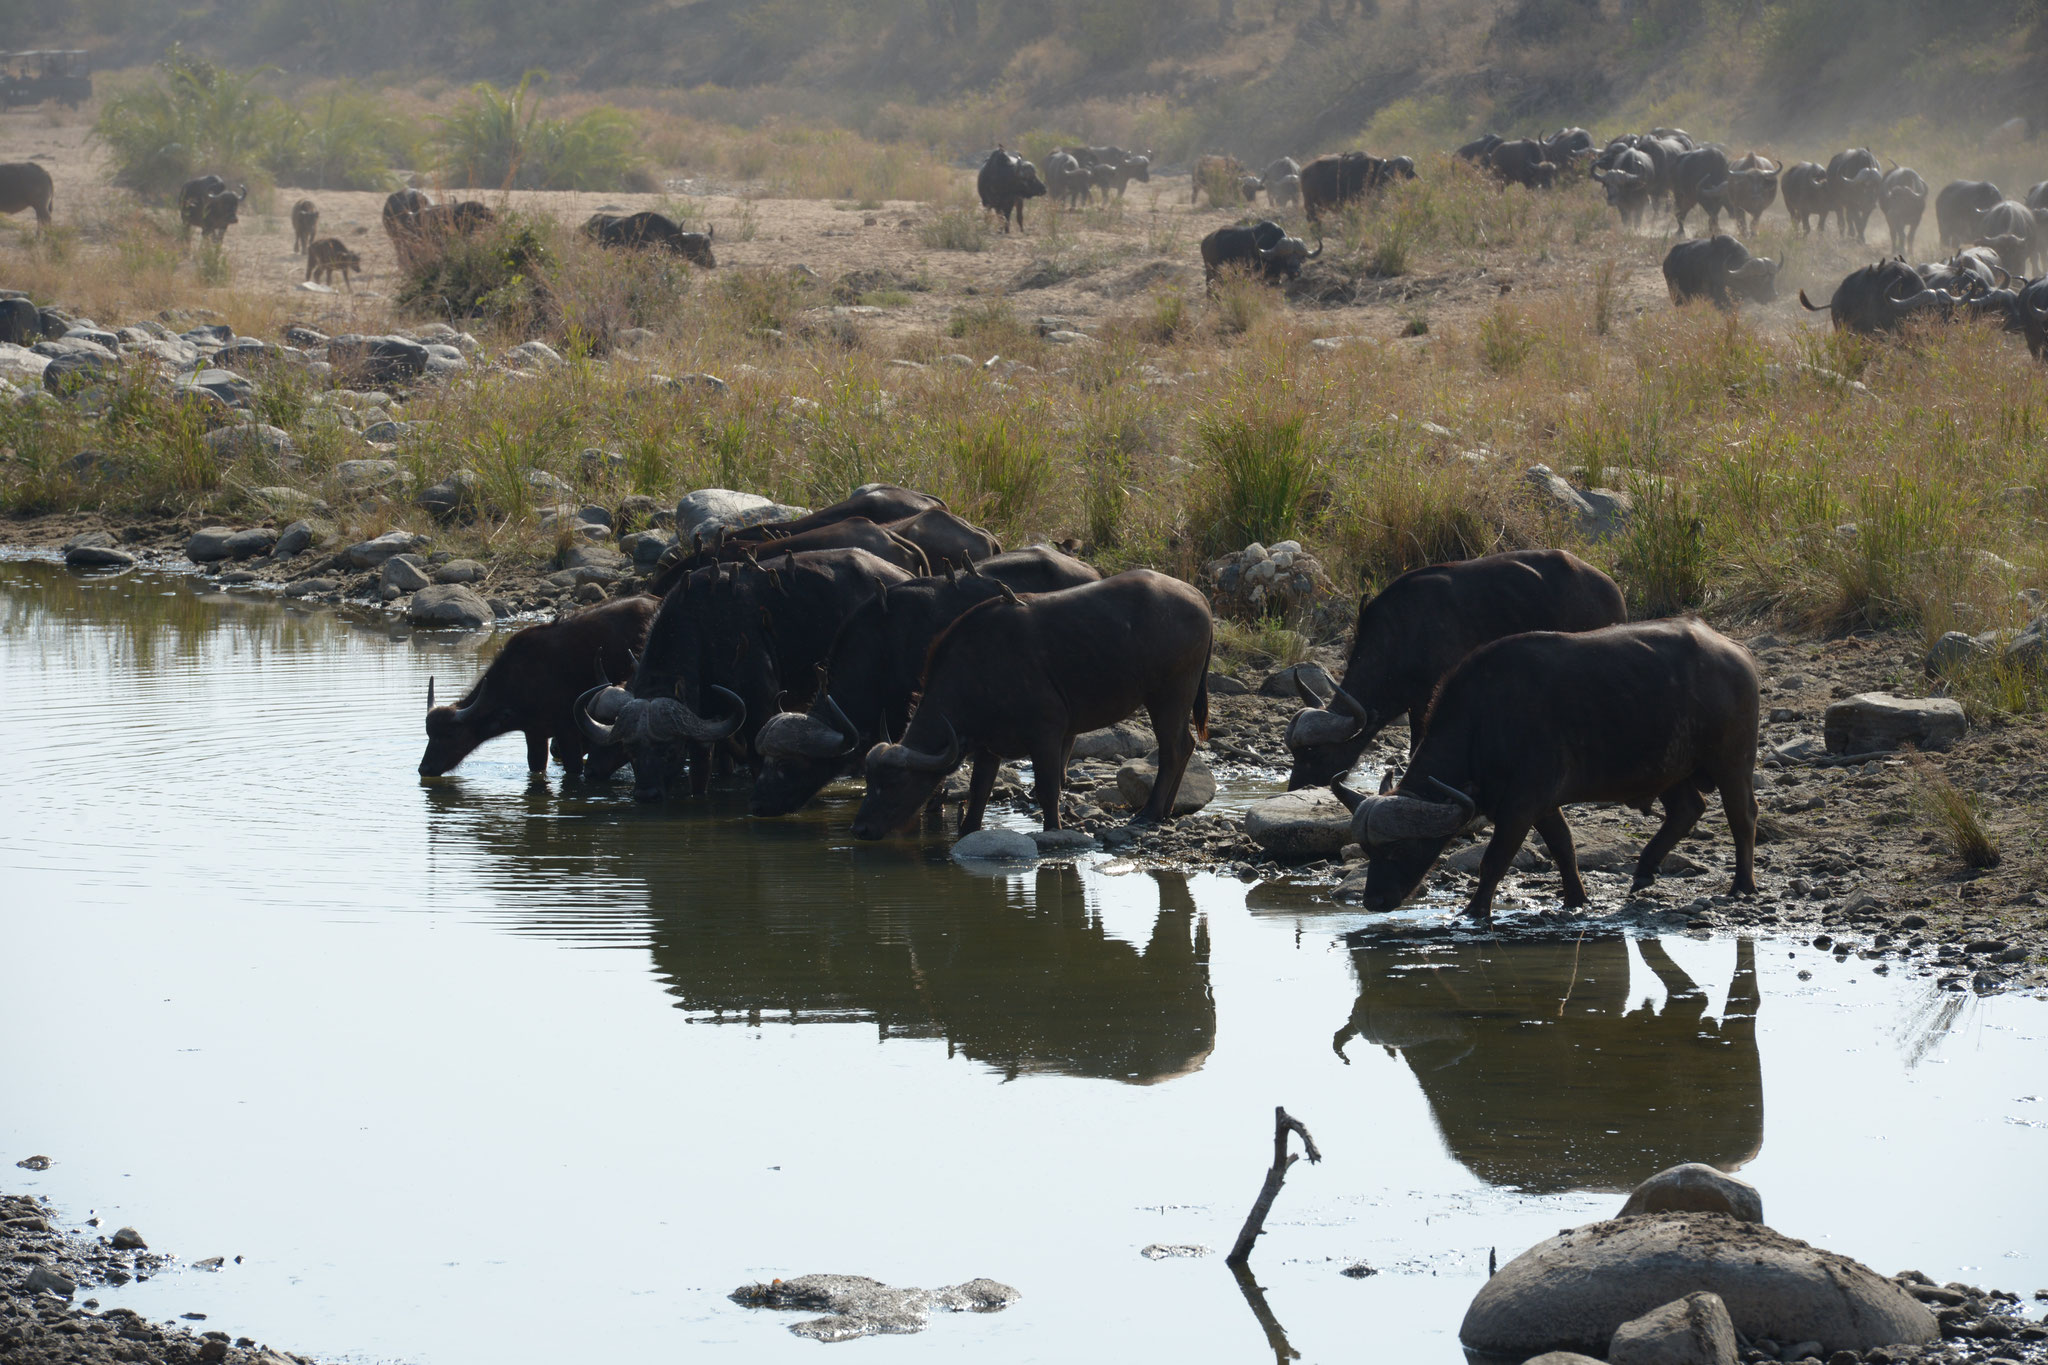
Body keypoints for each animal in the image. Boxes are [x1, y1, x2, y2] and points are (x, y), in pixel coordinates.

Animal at [423, 593, 655, 777]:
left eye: (450, 735)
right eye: (429, 734)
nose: (424, 768)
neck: (519, 679)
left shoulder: (567, 730)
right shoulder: (535, 733)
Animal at [1286, 548, 1622, 794]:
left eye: (1315, 754)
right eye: (1295, 755)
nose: (1295, 786)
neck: (1403, 632)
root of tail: (1611, 589)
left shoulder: (1430, 696)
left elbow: (1418, 741)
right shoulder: (1414, 700)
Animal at [1335, 618, 1753, 916]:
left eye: (1399, 850)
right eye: (1368, 851)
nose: (1374, 902)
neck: (1483, 723)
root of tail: (1736, 653)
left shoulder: (1520, 806)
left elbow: (1494, 861)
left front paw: (1474, 911)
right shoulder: (1543, 805)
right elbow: (1563, 847)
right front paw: (1576, 899)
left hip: (1732, 761)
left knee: (1742, 815)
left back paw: (1742, 885)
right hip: (1668, 769)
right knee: (1688, 809)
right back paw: (1644, 871)